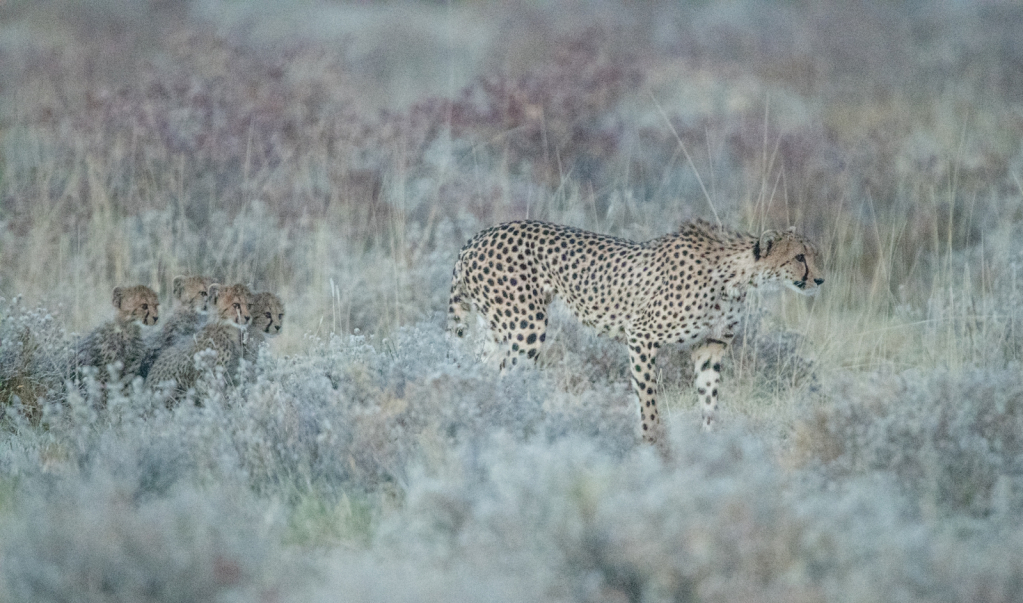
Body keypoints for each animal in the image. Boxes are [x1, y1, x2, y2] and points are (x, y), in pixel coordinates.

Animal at [448, 219, 822, 440]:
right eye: (799, 257)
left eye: (816, 254)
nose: (820, 280)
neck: (736, 276)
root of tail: (475, 239)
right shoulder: (641, 334)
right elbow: (647, 396)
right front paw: (651, 441)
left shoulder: (710, 346)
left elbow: (709, 399)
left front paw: (709, 443)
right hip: (526, 326)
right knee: (505, 377)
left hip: (497, 328)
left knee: (480, 370)